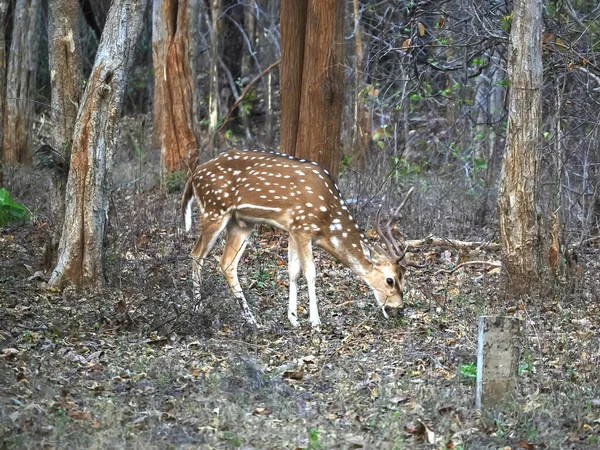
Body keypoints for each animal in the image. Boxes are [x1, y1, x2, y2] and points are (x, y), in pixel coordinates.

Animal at [182, 149, 418, 328]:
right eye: (390, 279)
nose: (398, 309)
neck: (327, 222)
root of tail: (193, 177)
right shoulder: (303, 226)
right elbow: (310, 273)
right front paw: (315, 321)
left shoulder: (293, 229)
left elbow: (293, 272)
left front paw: (293, 318)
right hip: (215, 208)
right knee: (196, 254)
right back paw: (198, 308)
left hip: (241, 224)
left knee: (227, 263)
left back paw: (252, 320)